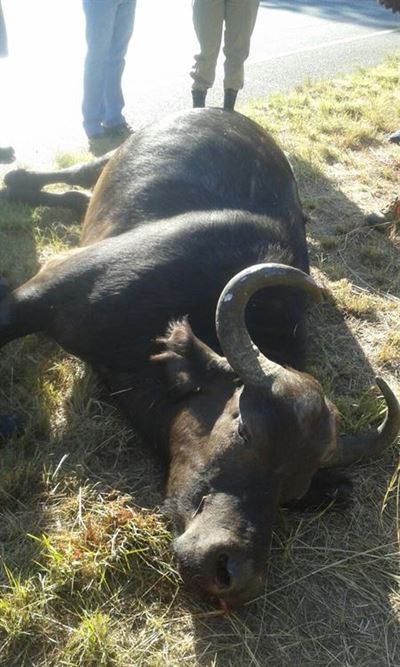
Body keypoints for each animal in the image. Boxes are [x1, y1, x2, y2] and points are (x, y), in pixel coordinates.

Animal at [0, 109, 399, 609]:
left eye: (294, 492)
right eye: (244, 429)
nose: (230, 569)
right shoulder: (40, 294)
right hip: (106, 159)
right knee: (63, 177)